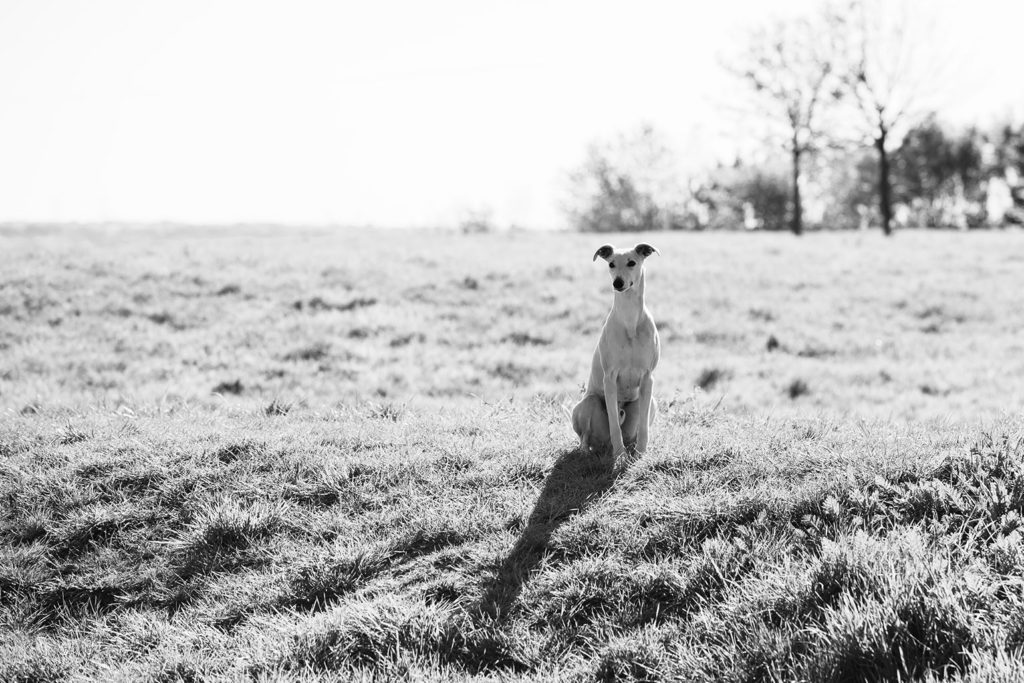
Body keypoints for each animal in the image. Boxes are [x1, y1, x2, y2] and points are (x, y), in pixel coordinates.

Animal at [573, 242, 659, 456]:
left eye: (632, 262)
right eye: (611, 264)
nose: (617, 283)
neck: (629, 319)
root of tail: (602, 446)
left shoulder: (648, 378)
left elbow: (643, 427)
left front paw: (641, 454)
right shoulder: (610, 378)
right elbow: (613, 423)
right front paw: (619, 455)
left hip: (651, 402)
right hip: (588, 403)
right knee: (585, 436)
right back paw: (587, 451)